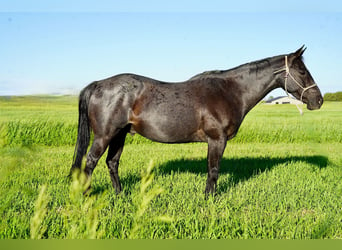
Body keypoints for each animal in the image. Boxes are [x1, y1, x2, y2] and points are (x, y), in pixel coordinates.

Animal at [70, 47, 324, 195]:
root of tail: (98, 84)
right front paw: (209, 198)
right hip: (104, 136)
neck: (230, 91)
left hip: (120, 134)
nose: (318, 100)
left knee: (112, 163)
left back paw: (120, 195)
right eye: (302, 71)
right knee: (89, 163)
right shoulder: (217, 140)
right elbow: (213, 170)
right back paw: (87, 197)